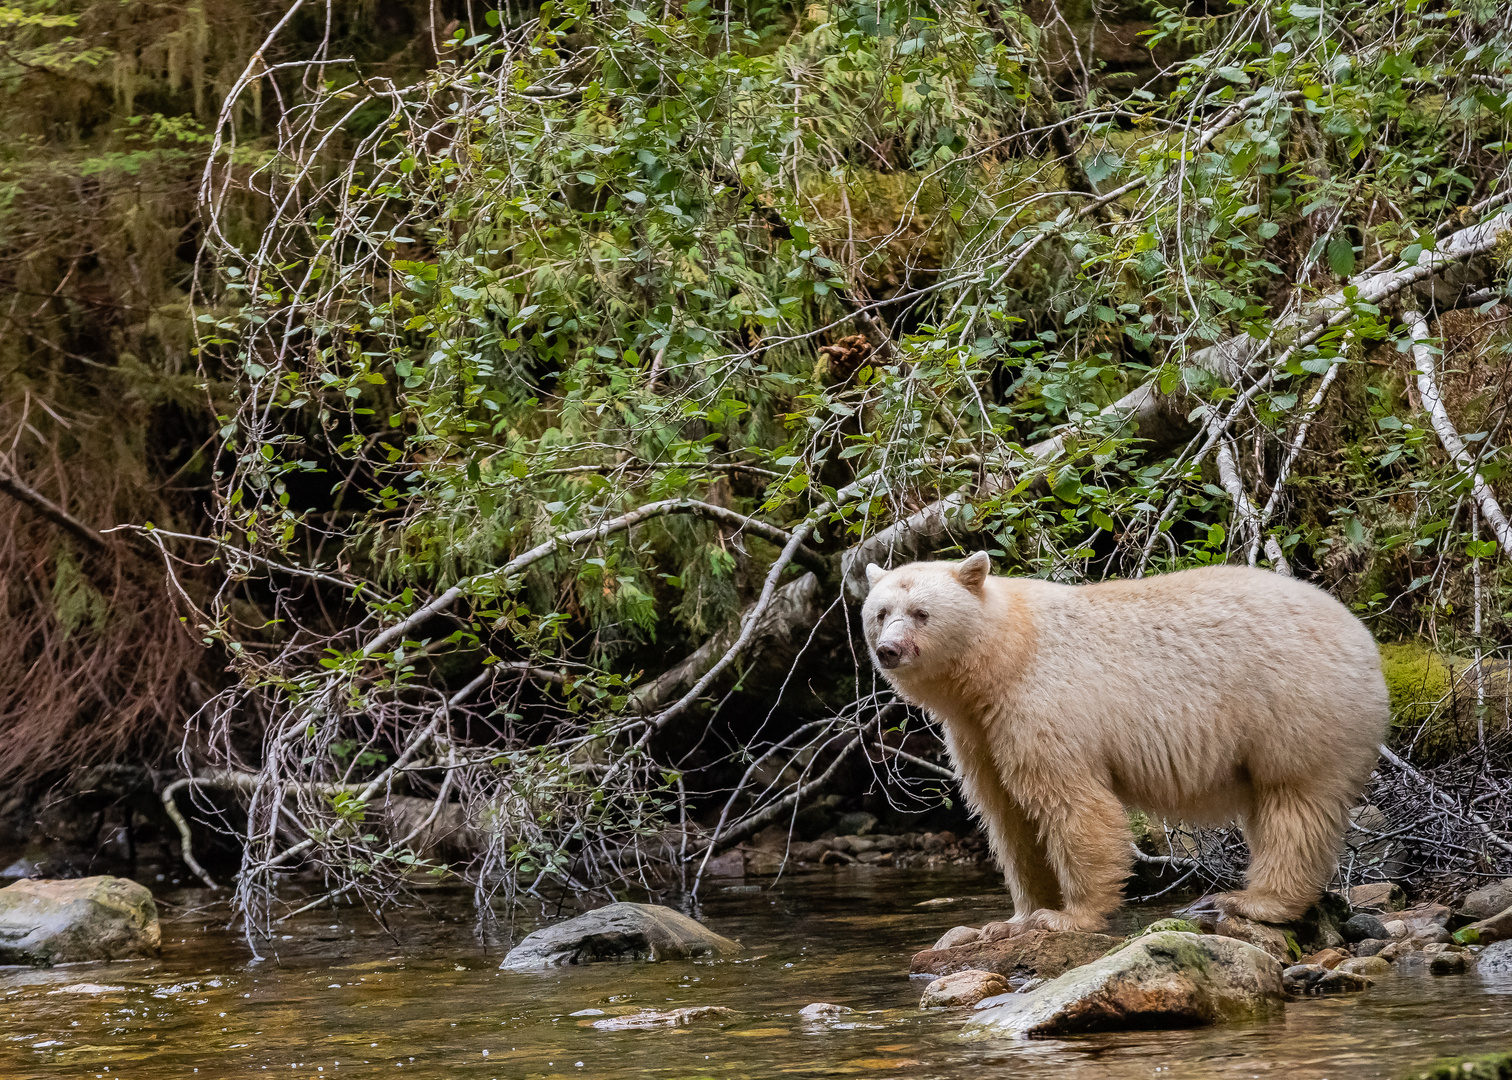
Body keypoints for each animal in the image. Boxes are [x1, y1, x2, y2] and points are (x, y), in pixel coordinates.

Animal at [870, 550, 1384, 931]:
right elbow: (1008, 817)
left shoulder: (1043, 703)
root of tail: (1365, 640)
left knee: (1293, 804)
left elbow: (1070, 803)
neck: (1002, 658)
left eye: (921, 613)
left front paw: (1067, 917)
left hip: (1294, 706)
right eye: (879, 613)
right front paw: (1012, 920)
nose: (888, 649)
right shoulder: (978, 733)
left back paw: (1255, 902)